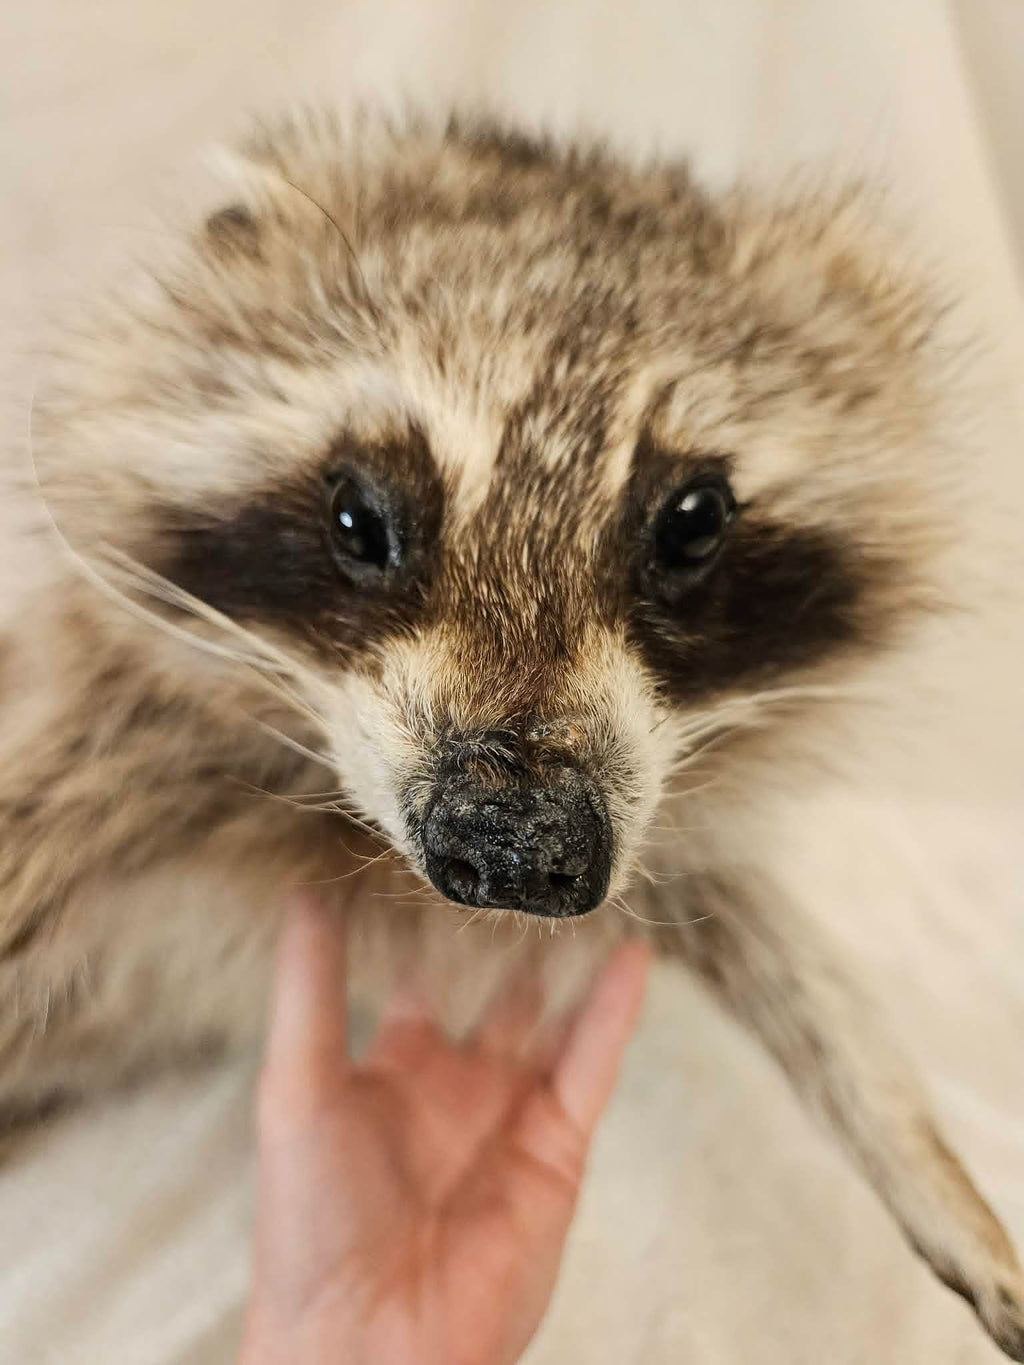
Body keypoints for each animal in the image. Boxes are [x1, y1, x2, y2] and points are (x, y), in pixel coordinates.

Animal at [2, 110, 1022, 1357]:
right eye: (358, 517)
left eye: (692, 522)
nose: (516, 846)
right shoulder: (97, 741)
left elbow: (772, 941)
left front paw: (923, 1161)